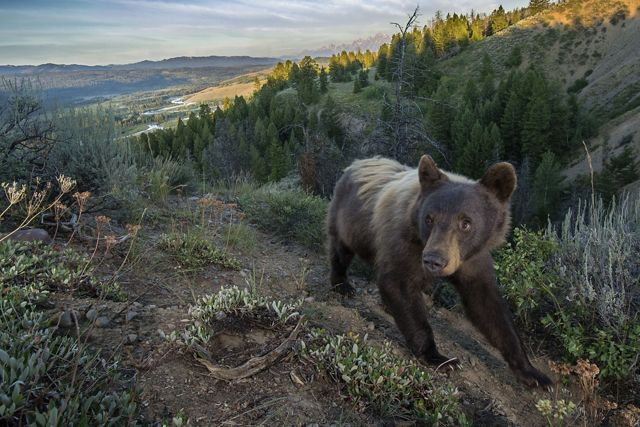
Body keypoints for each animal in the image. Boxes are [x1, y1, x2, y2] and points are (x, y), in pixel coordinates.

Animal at [328, 155, 552, 390]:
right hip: (346, 216)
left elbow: (489, 308)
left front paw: (533, 373)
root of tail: (357, 162)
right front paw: (439, 357)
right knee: (340, 249)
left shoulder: (474, 260)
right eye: (429, 218)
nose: (434, 261)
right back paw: (342, 284)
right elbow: (398, 284)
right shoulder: (404, 243)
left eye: (466, 223)